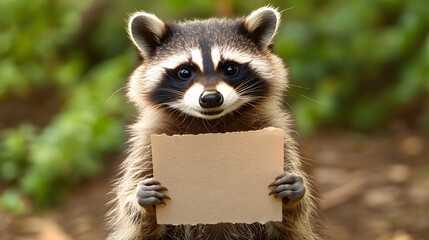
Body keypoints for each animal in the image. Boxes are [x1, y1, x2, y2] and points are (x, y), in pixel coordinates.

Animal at [106, 6, 320, 239]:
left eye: (230, 69)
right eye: (184, 72)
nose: (210, 98)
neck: (211, 124)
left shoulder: (276, 133)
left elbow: (288, 225)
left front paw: (292, 198)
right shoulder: (146, 144)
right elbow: (135, 220)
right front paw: (142, 204)